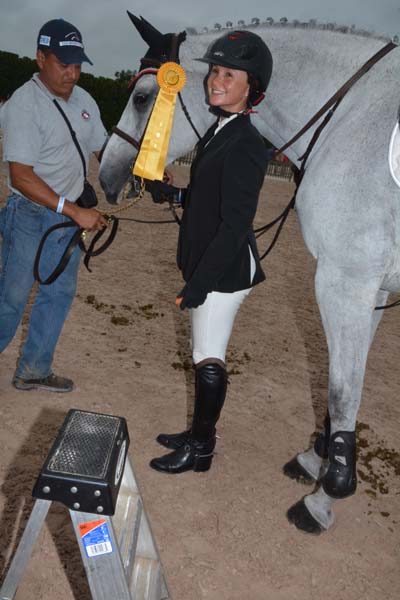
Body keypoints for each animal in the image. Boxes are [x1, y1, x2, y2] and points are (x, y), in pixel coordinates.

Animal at [99, 14, 400, 532]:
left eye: (142, 98)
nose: (104, 176)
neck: (350, 116)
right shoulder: (372, 288)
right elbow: (344, 384)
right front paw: (317, 461)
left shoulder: (345, 281)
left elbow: (342, 389)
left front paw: (325, 498)